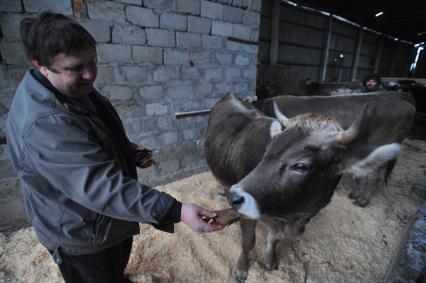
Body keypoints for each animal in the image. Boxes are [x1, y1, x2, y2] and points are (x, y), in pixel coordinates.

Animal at [205, 92, 414, 282]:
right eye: (268, 149)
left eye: (301, 166)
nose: (234, 196)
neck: (292, 215)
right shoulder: (248, 215)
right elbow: (248, 242)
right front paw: (241, 269)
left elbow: (274, 239)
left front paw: (270, 261)